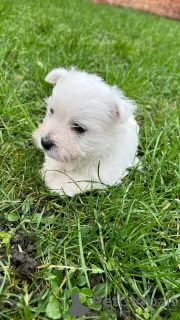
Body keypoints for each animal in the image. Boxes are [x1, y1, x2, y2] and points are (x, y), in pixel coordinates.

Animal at [33, 67, 139, 196]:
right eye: (51, 111)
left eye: (79, 128)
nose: (44, 142)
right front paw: (49, 170)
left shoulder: (101, 173)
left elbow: (76, 178)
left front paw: (57, 183)